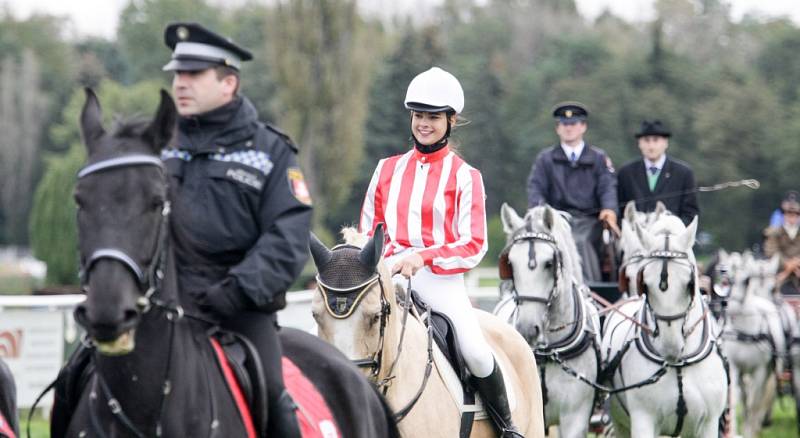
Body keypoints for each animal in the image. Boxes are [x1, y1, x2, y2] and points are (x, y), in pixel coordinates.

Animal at [604, 216, 728, 438]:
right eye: (645, 283)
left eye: (689, 283)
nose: (671, 347)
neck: (679, 365)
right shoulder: (643, 419)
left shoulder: (709, 423)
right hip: (621, 423)